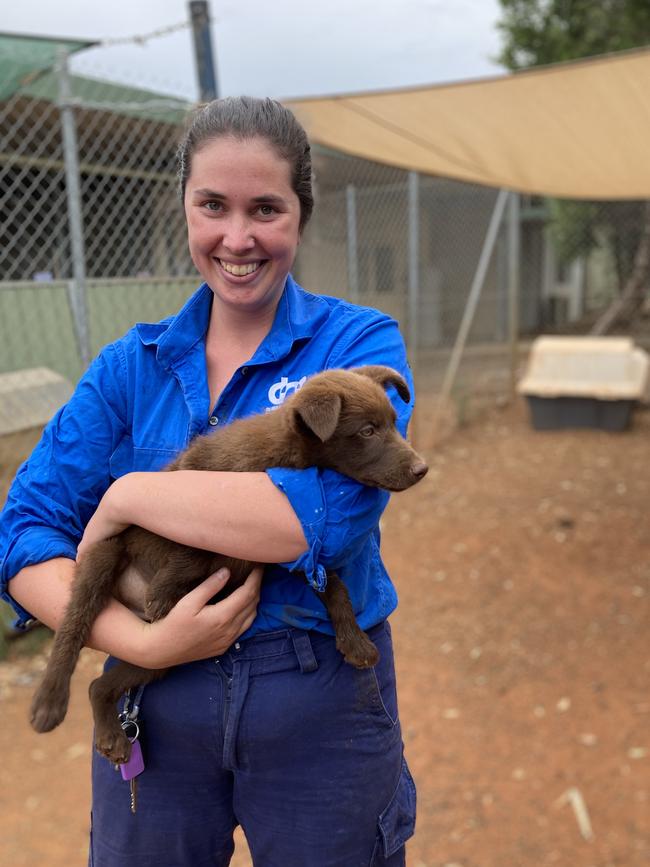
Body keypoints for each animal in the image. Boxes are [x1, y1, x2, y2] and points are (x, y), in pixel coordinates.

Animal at [30, 362, 428, 764]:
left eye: (394, 423)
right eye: (367, 431)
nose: (421, 469)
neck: (281, 456)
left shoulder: (292, 546)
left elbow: (333, 586)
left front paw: (354, 641)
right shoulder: (190, 492)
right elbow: (195, 548)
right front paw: (163, 592)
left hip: (159, 650)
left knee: (98, 685)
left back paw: (111, 735)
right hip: (104, 557)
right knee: (70, 633)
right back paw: (49, 704)